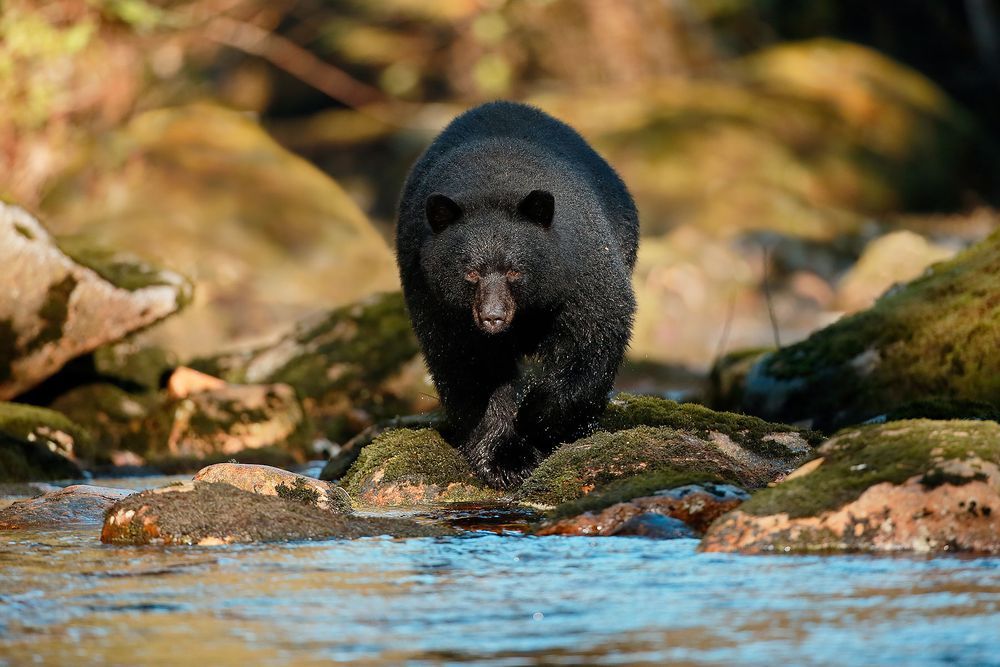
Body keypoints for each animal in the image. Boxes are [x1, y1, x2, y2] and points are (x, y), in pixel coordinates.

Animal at [396, 101, 638, 488]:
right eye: (471, 273)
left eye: (514, 270)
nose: (492, 317)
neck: (492, 186)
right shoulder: (433, 295)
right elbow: (470, 366)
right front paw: (503, 458)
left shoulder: (581, 268)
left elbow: (593, 335)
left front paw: (540, 419)